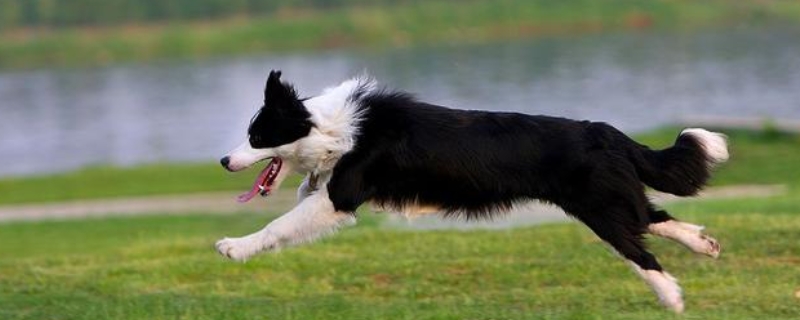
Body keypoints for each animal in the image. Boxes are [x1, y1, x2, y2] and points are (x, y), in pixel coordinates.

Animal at [216, 70, 728, 312]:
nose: (223, 161)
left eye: (256, 136)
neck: (329, 127)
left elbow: (280, 224)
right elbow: (299, 202)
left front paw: (234, 247)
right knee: (654, 219)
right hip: (611, 199)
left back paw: (671, 298)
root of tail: (605, 131)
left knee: (641, 249)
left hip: (600, 208)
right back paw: (704, 245)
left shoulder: (341, 196)